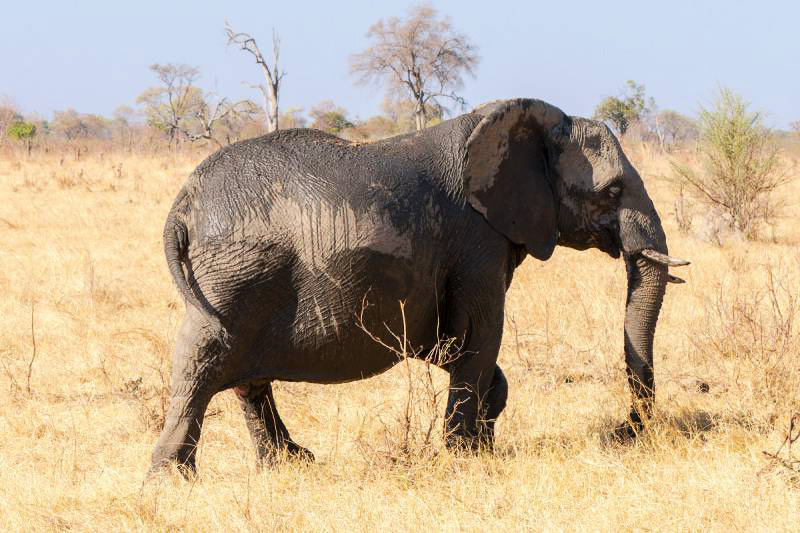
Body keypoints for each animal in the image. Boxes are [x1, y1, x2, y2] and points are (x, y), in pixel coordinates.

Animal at [148, 97, 688, 472]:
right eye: (612, 191)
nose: (623, 431)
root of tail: (182, 205)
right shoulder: (477, 240)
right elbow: (478, 333)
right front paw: (464, 455)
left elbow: (456, 345)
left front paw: (482, 446)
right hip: (236, 274)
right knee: (202, 358)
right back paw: (173, 479)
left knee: (245, 376)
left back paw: (290, 464)